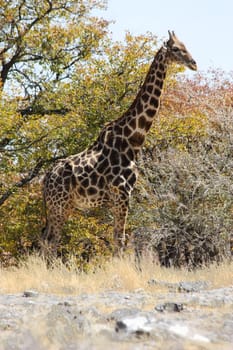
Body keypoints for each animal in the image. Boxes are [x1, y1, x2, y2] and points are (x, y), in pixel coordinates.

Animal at [41, 31, 197, 256]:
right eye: (176, 49)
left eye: (185, 46)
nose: (194, 63)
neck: (133, 140)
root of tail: (45, 179)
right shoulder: (122, 193)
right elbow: (120, 239)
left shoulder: (120, 197)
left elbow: (119, 239)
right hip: (58, 205)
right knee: (51, 240)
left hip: (63, 205)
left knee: (46, 238)